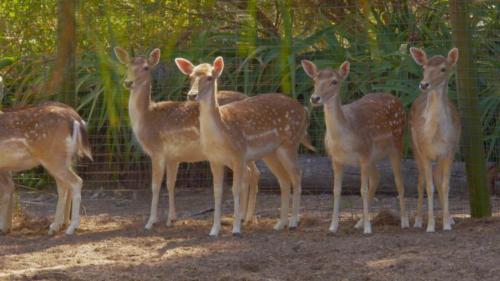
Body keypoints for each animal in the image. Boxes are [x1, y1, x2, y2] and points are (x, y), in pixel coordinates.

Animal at [0, 98, 92, 234]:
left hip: (54, 158)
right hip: (62, 159)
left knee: (76, 181)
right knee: (64, 186)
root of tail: (77, 119)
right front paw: (5, 227)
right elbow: (8, 189)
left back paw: (70, 228)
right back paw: (55, 227)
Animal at [113, 47, 262, 228]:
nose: (128, 83)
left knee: (249, 174)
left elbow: (155, 186)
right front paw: (171, 219)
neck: (147, 117)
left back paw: (242, 218)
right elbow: (170, 184)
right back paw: (247, 218)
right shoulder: (173, 157)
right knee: (255, 173)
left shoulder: (157, 151)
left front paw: (150, 222)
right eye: (127, 66)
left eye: (146, 68)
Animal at [174, 55, 310, 235]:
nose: (191, 95)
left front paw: (236, 228)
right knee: (284, 180)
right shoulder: (214, 160)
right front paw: (214, 230)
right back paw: (280, 224)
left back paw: (294, 221)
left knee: (297, 175)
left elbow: (235, 189)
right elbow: (217, 192)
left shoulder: (238, 154)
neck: (221, 134)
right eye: (190, 77)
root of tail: (304, 111)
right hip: (271, 153)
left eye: (210, 77)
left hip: (290, 143)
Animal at [302, 59, 408, 234]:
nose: (315, 98)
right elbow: (336, 190)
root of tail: (396, 98)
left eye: (334, 81)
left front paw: (368, 229)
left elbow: (362, 190)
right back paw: (359, 222)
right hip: (373, 156)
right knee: (377, 177)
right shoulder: (336, 159)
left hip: (396, 144)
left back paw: (404, 221)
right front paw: (332, 227)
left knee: (398, 181)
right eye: (314, 80)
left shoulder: (363, 155)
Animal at [410, 47, 460, 232]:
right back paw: (417, 221)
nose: (424, 84)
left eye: (443, 69)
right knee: (420, 181)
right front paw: (430, 226)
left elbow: (445, 185)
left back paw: (451, 219)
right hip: (414, 148)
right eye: (424, 67)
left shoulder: (450, 150)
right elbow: (428, 187)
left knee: (438, 179)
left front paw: (446, 224)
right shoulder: (424, 151)